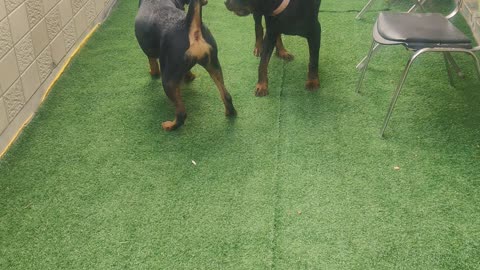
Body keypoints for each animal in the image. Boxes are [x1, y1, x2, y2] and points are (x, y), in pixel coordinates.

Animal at [135, 0, 236, 131]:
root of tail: (187, 24)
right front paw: (189, 77)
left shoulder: (149, 52)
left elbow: (152, 63)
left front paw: (153, 73)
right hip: (214, 66)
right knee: (226, 95)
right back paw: (230, 112)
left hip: (168, 81)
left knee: (181, 113)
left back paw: (170, 126)